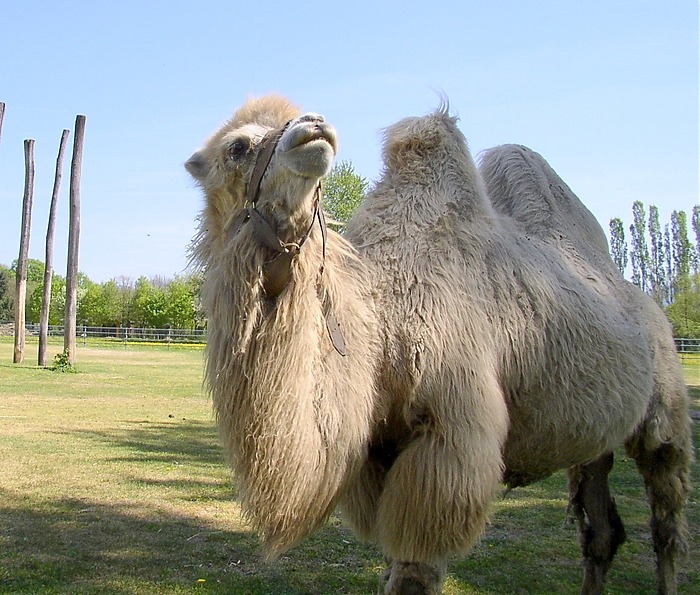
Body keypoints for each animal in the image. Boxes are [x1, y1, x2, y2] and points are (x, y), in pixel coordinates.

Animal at [183, 95, 692, 592]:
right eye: (237, 147)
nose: (315, 126)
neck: (383, 324)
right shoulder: (375, 458)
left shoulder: (447, 450)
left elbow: (414, 573)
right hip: (594, 435)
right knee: (601, 532)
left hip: (665, 412)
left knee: (665, 518)